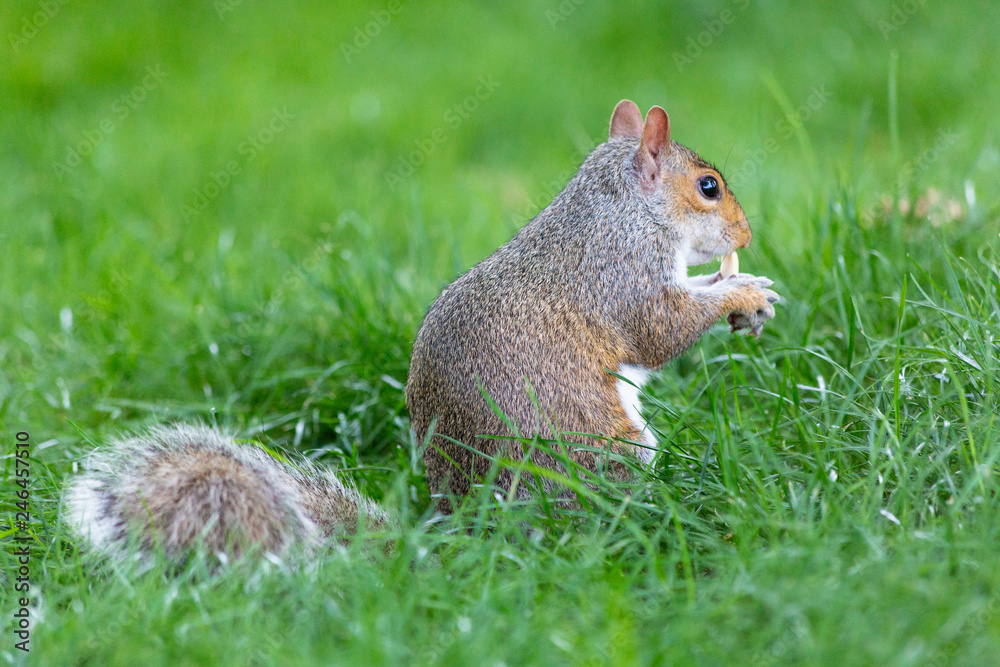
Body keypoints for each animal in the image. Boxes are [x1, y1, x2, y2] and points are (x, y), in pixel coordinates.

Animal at [64, 100, 778, 562]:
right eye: (708, 187)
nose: (745, 236)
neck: (620, 209)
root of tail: (474, 532)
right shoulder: (621, 274)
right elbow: (660, 329)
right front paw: (742, 290)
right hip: (607, 451)